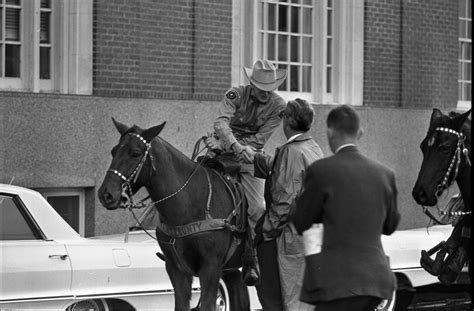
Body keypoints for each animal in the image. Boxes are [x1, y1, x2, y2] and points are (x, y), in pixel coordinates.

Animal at [98, 120, 250, 311]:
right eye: (113, 151)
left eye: (135, 153)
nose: (106, 194)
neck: (190, 204)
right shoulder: (176, 269)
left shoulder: (211, 268)